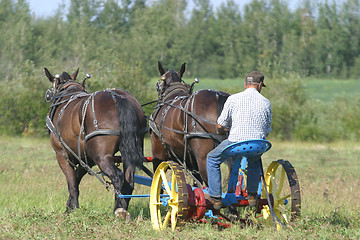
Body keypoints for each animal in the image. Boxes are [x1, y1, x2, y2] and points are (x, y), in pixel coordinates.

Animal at [44, 67, 147, 219]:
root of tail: (119, 98)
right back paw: (123, 208)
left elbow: (72, 184)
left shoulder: (62, 154)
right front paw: (69, 206)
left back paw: (118, 210)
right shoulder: (87, 158)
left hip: (101, 157)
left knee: (118, 177)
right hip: (129, 151)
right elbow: (77, 178)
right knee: (129, 180)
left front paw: (74, 209)